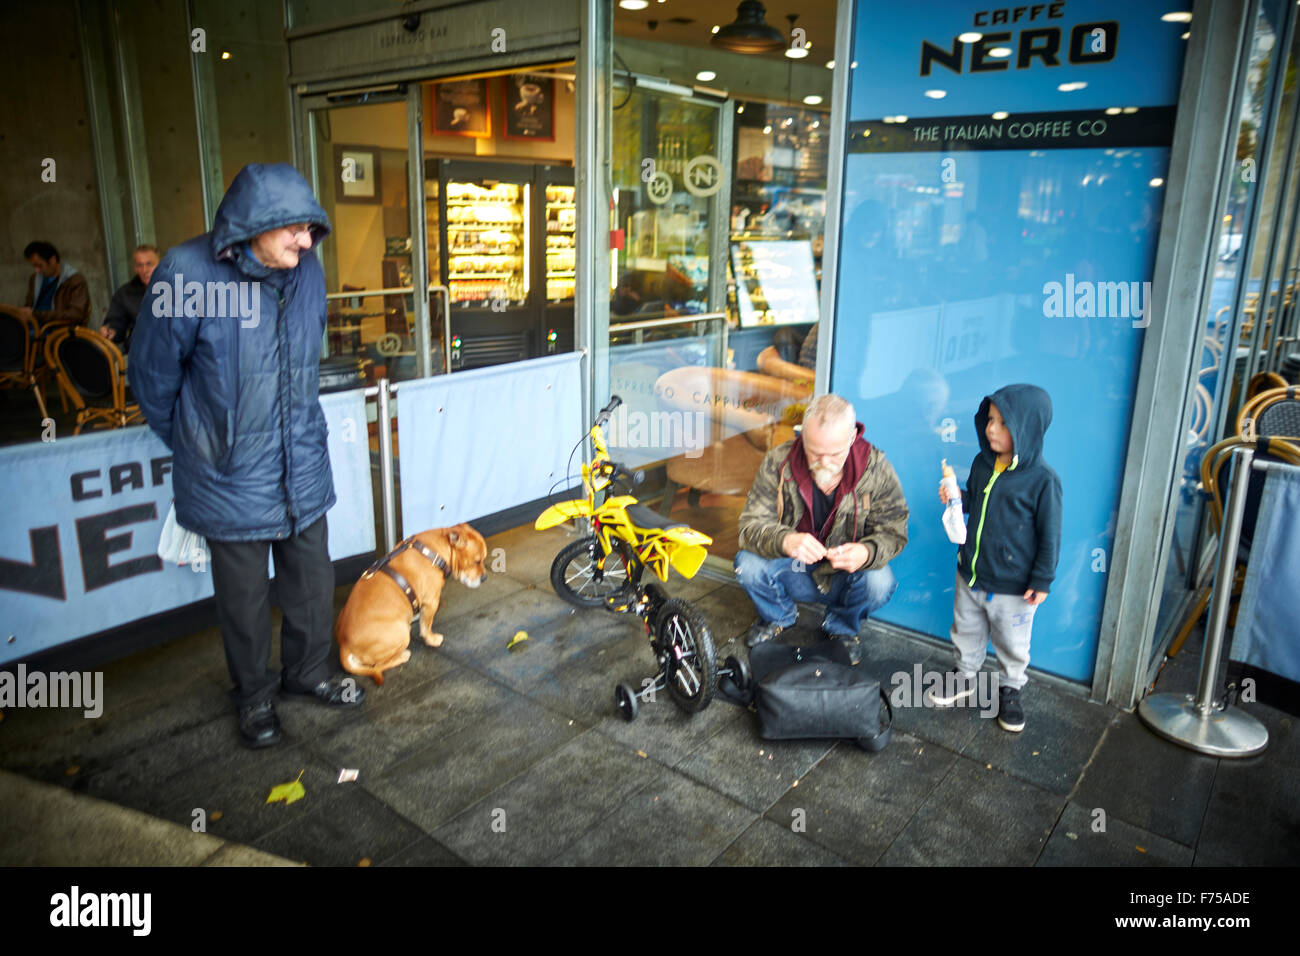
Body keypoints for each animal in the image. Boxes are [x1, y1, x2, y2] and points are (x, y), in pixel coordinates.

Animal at [338, 522, 488, 686]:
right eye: (477, 561)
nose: (484, 578)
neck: (438, 549)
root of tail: (344, 646)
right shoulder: (431, 601)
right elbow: (426, 626)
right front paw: (431, 639)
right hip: (401, 632)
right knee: (378, 665)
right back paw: (403, 655)